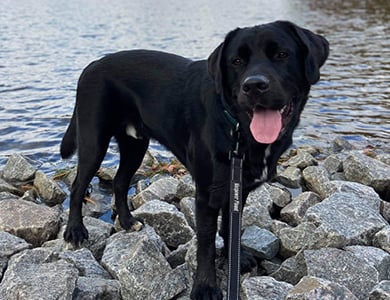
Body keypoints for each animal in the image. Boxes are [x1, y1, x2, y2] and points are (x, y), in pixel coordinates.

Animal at [61, 20, 328, 298]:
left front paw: (235, 258)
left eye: (282, 54)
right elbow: (206, 242)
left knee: (120, 182)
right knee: (78, 186)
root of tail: (92, 65)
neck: (236, 129)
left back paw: (127, 222)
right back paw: (75, 231)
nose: (254, 85)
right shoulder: (207, 195)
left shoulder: (237, 188)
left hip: (135, 144)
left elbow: (231, 225)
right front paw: (206, 286)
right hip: (94, 141)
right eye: (236, 61)